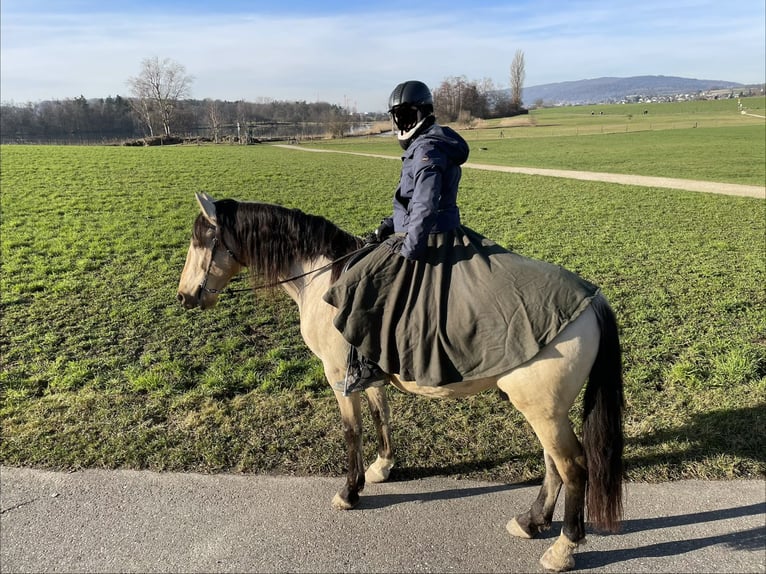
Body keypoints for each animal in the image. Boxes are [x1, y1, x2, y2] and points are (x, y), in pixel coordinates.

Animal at [177, 192, 625, 572]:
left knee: (573, 467)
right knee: (554, 465)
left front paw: (350, 491)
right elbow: (381, 416)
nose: (183, 297)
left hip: (543, 410)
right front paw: (383, 466)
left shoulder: (338, 377)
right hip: (544, 409)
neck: (326, 281)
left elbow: (352, 431)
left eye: (202, 241)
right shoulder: (366, 373)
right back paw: (531, 521)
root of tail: (592, 300)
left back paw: (563, 548)